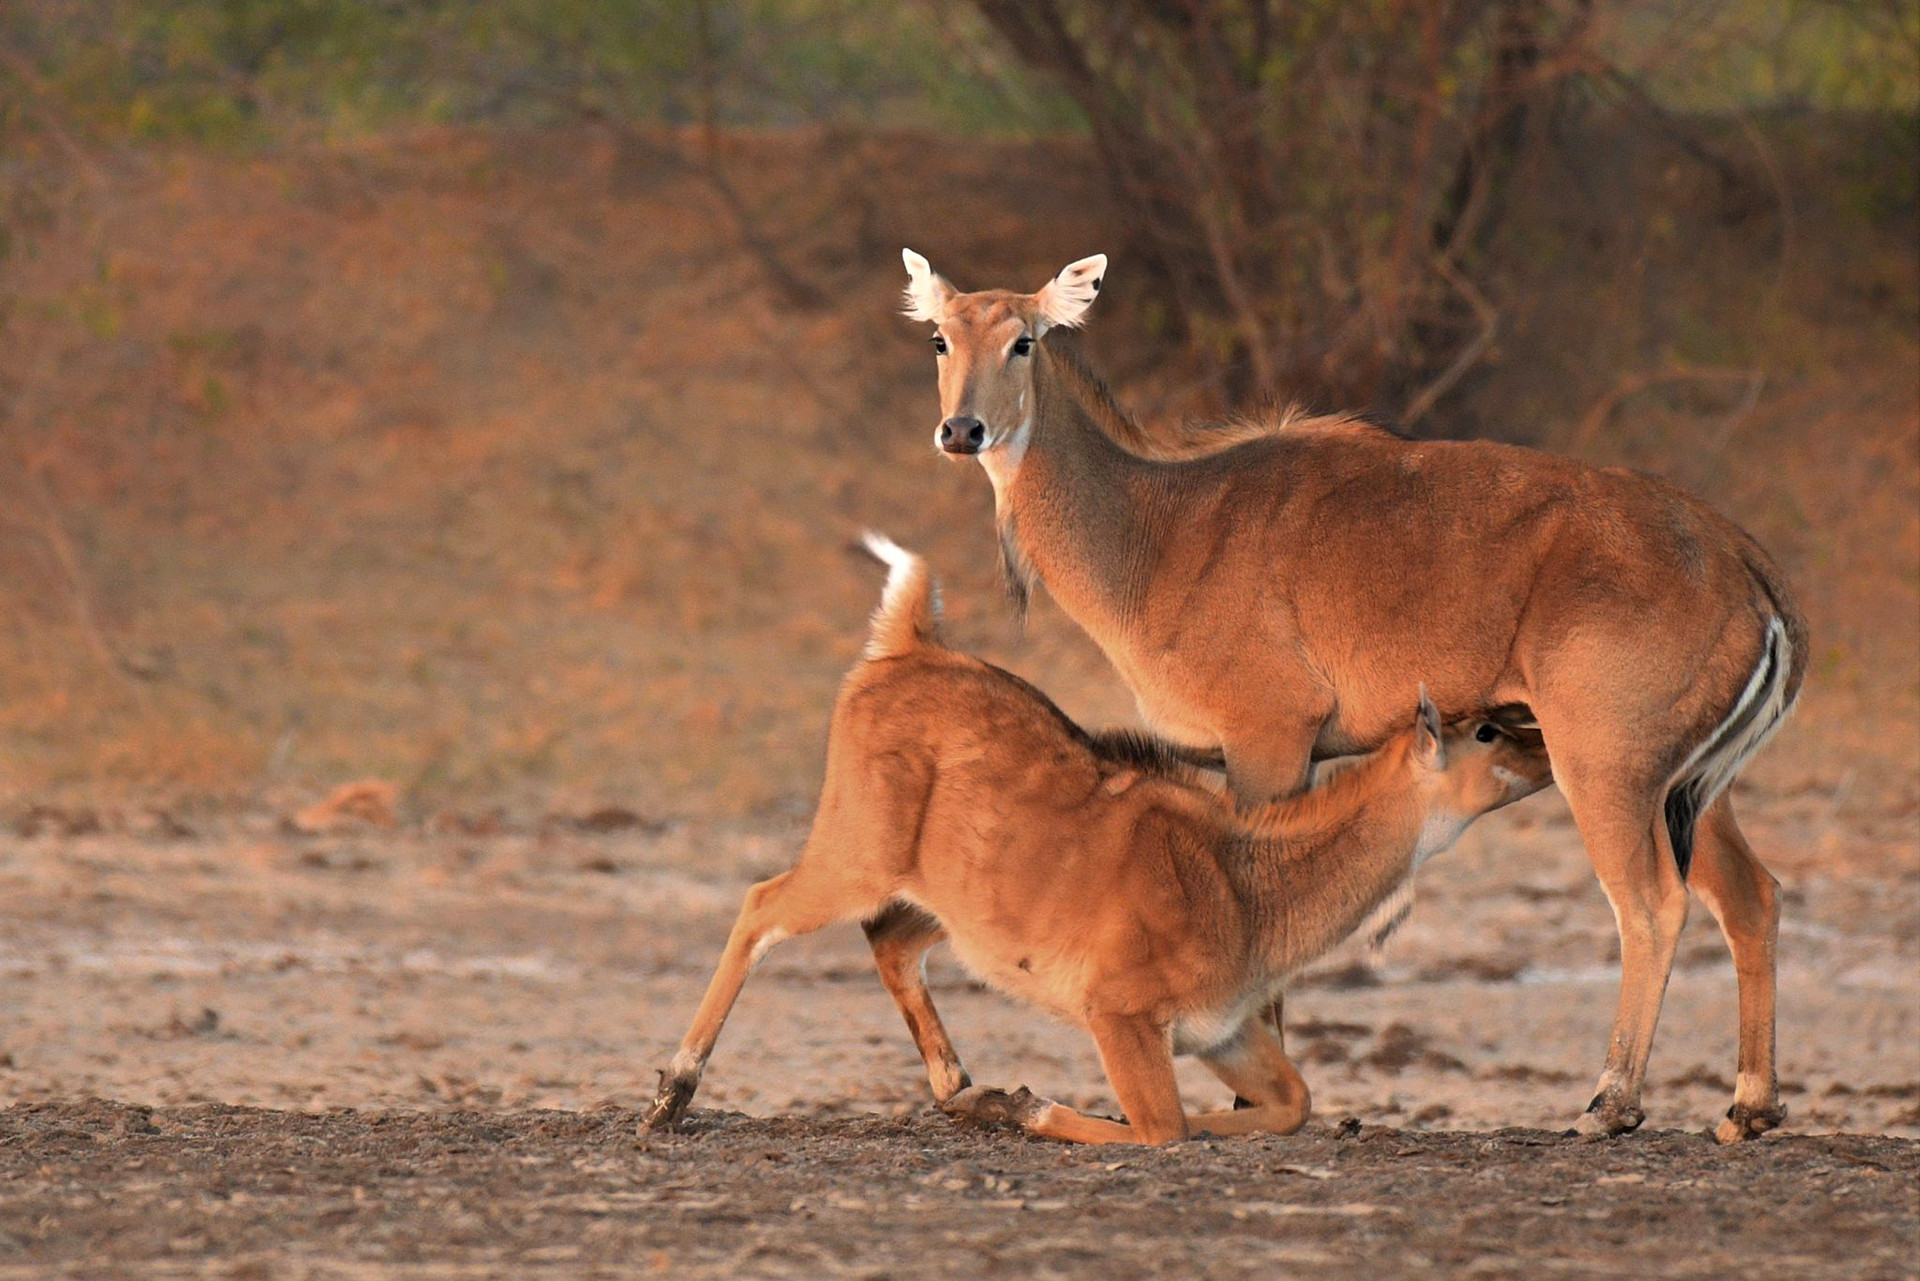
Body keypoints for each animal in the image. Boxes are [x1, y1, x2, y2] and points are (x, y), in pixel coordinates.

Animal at [640, 535, 1553, 1145]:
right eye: (1484, 732)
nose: (1547, 742)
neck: (1247, 882)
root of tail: (904, 646)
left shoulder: (1222, 1029)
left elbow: (1289, 1104)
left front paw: (1014, 1100)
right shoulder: (1121, 1016)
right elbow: (1162, 1127)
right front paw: (1035, 1104)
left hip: (941, 903)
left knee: (891, 943)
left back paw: (967, 1092)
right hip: (851, 856)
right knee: (760, 905)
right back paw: (671, 1095)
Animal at [898, 249, 1806, 1144]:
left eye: (1023, 341)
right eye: (941, 339)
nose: (962, 431)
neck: (1158, 527)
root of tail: (1743, 561)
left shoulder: (1270, 736)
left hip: (1606, 766)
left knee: (1651, 904)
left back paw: (1610, 1101)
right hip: (1684, 785)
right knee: (1752, 895)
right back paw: (1750, 1105)